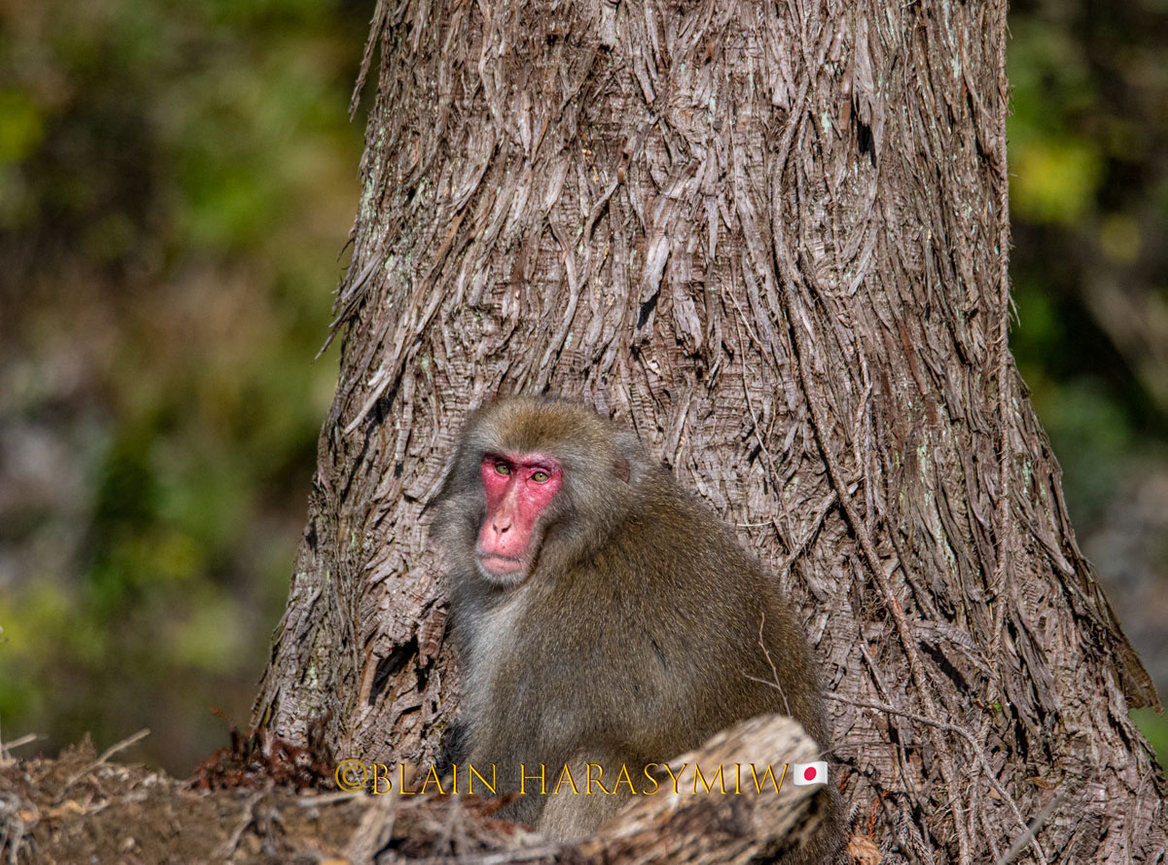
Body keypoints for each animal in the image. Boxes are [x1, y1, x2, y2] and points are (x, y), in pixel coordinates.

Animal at [432, 396, 843, 856]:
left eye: (539, 476)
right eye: (501, 468)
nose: (500, 525)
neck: (586, 542)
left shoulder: (549, 640)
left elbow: (504, 785)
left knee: (599, 764)